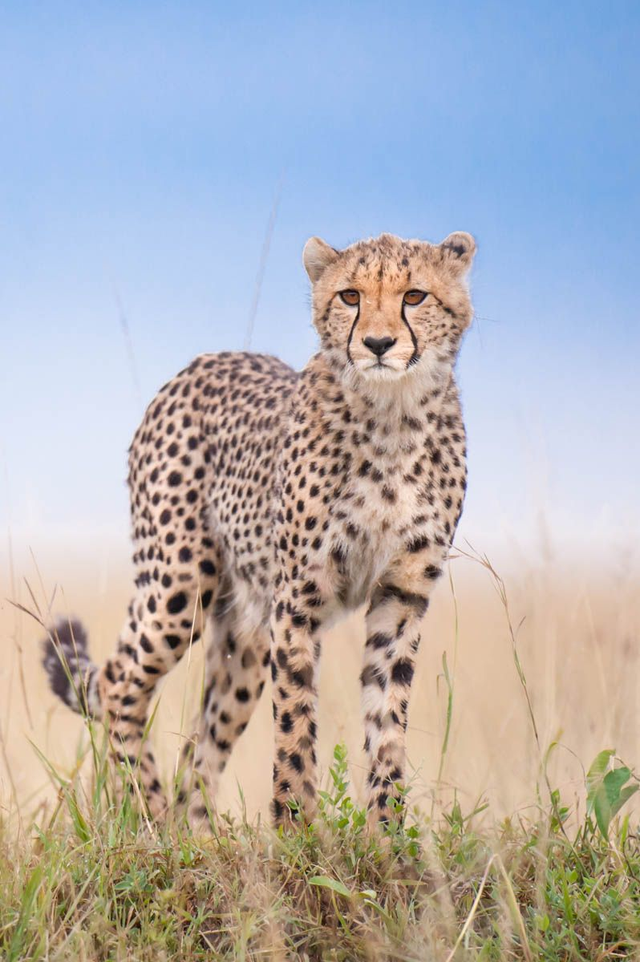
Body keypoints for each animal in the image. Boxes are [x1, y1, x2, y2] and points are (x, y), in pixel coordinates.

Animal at [42, 229, 476, 829]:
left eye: (414, 296)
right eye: (349, 296)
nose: (378, 343)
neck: (394, 416)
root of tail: (202, 362)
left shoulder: (401, 595)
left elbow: (387, 726)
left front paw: (387, 835)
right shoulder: (297, 596)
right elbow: (295, 724)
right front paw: (297, 830)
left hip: (242, 641)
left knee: (200, 743)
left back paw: (195, 834)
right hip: (180, 587)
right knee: (116, 682)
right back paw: (151, 818)